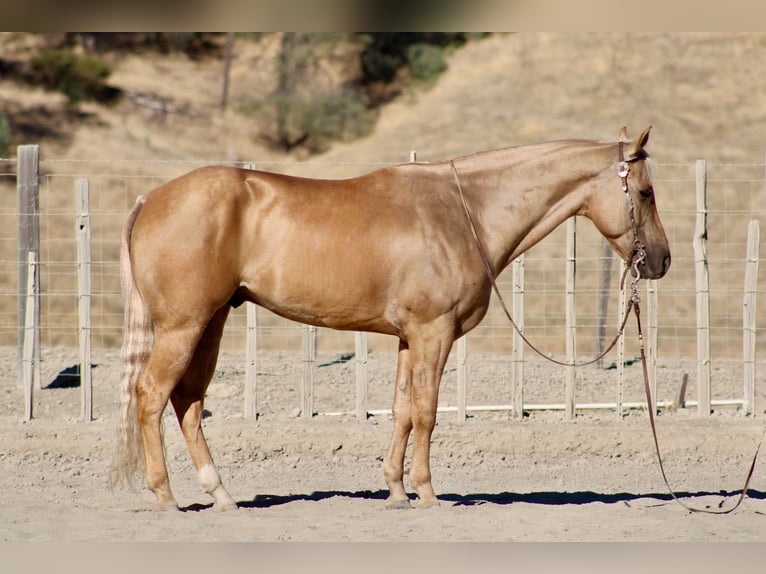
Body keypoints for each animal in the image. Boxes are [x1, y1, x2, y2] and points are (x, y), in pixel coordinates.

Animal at [110, 126, 670, 511]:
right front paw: (427, 492)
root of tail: (151, 198)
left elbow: (402, 410)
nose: (661, 261)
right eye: (645, 193)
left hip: (210, 323)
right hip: (184, 325)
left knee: (187, 401)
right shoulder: (433, 333)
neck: (464, 211)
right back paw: (166, 496)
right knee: (152, 394)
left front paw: (397, 490)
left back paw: (220, 493)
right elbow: (426, 411)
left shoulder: (409, 338)